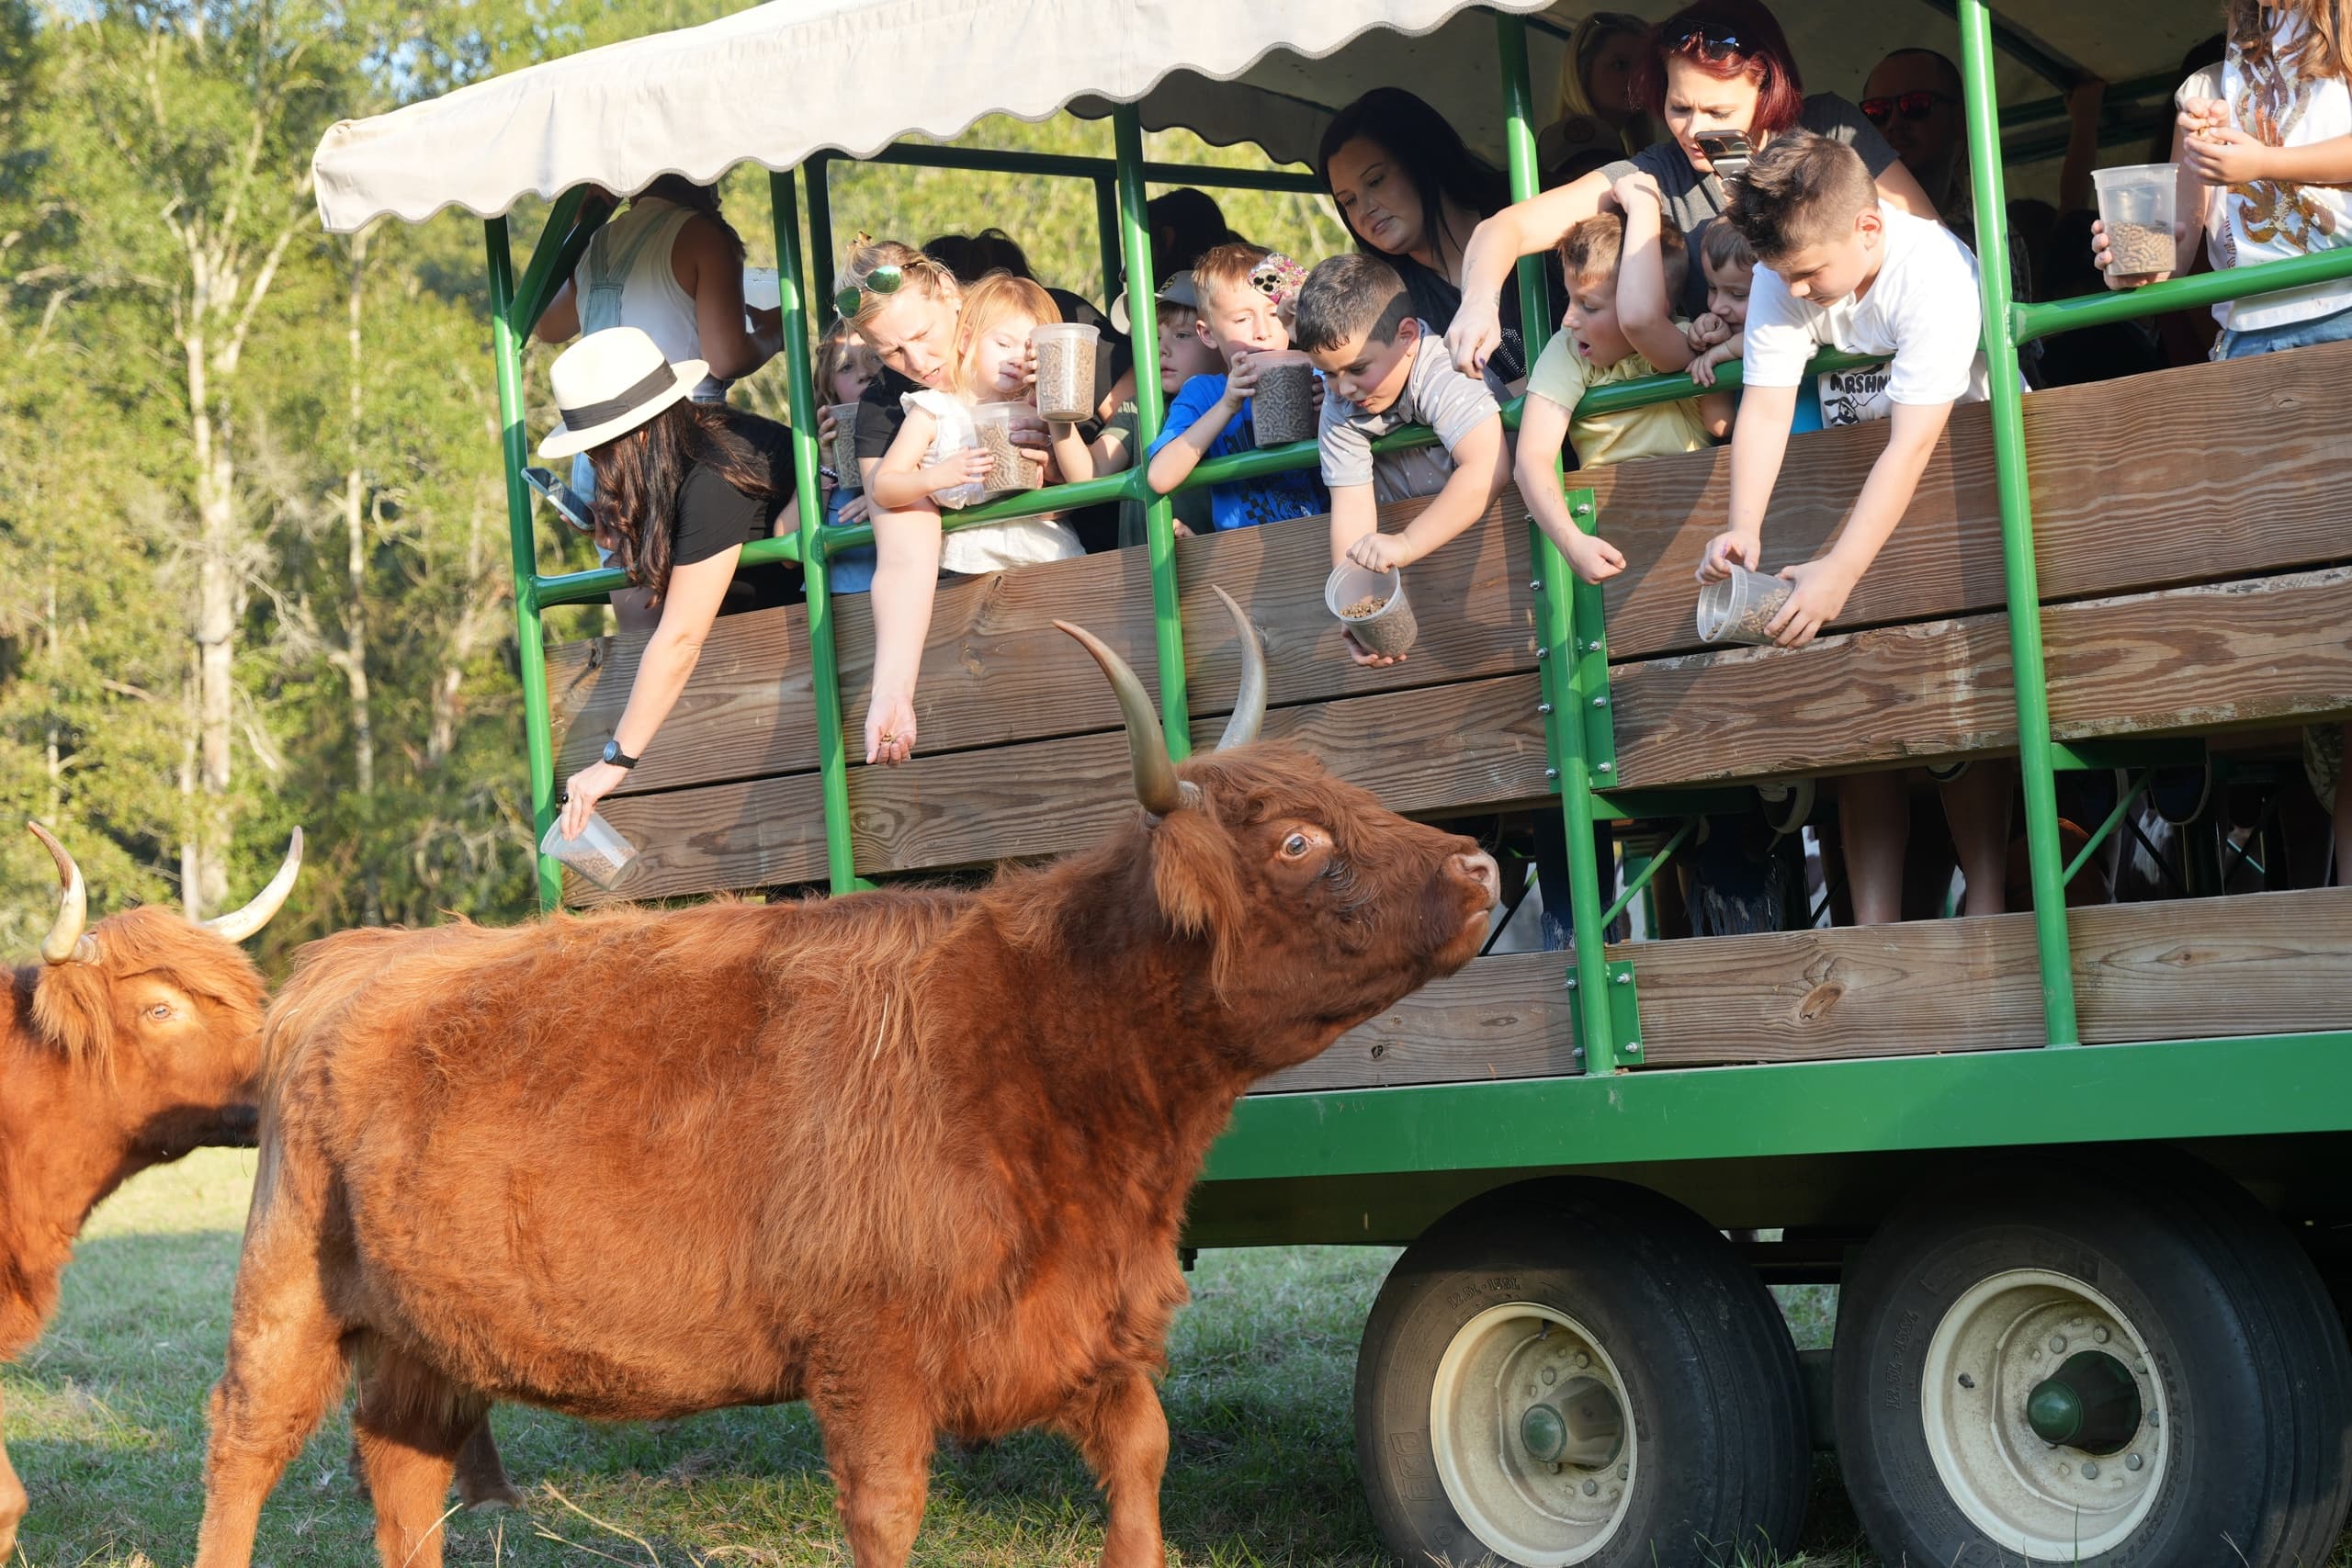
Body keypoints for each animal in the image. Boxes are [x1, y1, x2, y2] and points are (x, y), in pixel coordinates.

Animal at [191, 590, 1500, 1568]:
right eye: (1298, 843)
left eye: (1352, 799)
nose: (1480, 866)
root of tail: (356, 955)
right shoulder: (870, 1361)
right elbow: (887, 1517)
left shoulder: (1106, 1336)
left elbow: (1140, 1479)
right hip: (288, 1291)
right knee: (243, 1447)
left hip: (425, 1333)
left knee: (401, 1471)